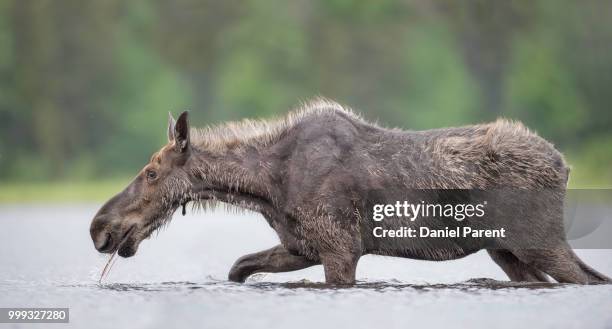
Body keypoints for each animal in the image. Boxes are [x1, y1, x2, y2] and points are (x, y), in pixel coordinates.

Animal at [88, 98, 608, 284]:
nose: (99, 228)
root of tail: (565, 164)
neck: (266, 187)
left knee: (585, 279)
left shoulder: (340, 249)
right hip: (508, 252)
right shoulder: (301, 246)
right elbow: (238, 269)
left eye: (151, 172)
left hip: (539, 243)